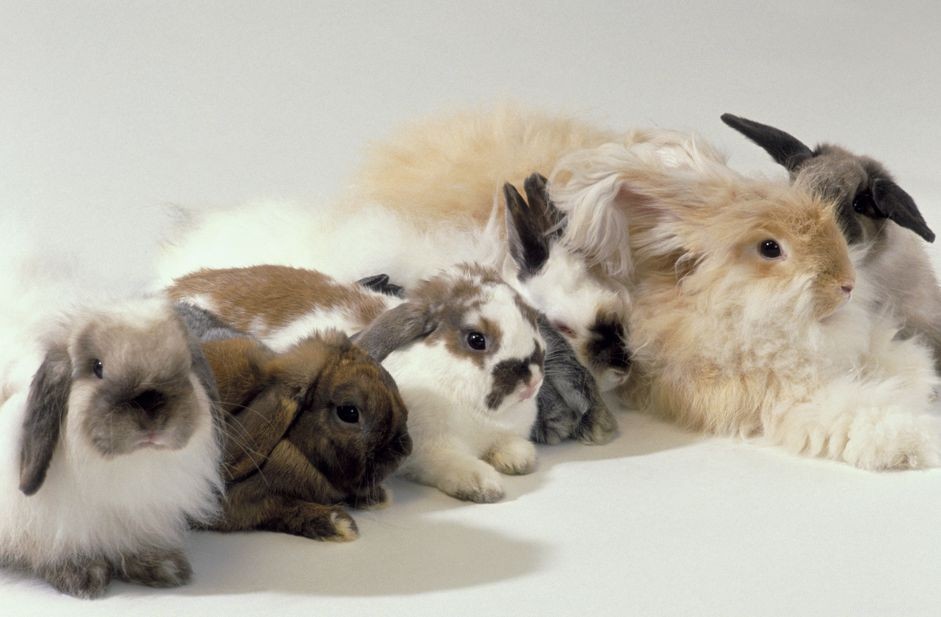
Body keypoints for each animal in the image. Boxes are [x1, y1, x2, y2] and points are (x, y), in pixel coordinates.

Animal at [169, 262, 546, 502]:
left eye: (529, 316)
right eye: (476, 340)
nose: (533, 380)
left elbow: (511, 445)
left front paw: (519, 459)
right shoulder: (430, 449)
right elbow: (452, 463)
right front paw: (483, 484)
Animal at [175, 302, 412, 542]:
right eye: (349, 412)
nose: (404, 449)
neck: (291, 445)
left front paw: (377, 496)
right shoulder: (241, 504)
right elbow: (281, 508)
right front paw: (340, 524)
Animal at [547, 139, 939, 470]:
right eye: (770, 248)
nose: (847, 284)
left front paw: (917, 376)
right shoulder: (787, 396)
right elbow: (858, 412)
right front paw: (918, 439)